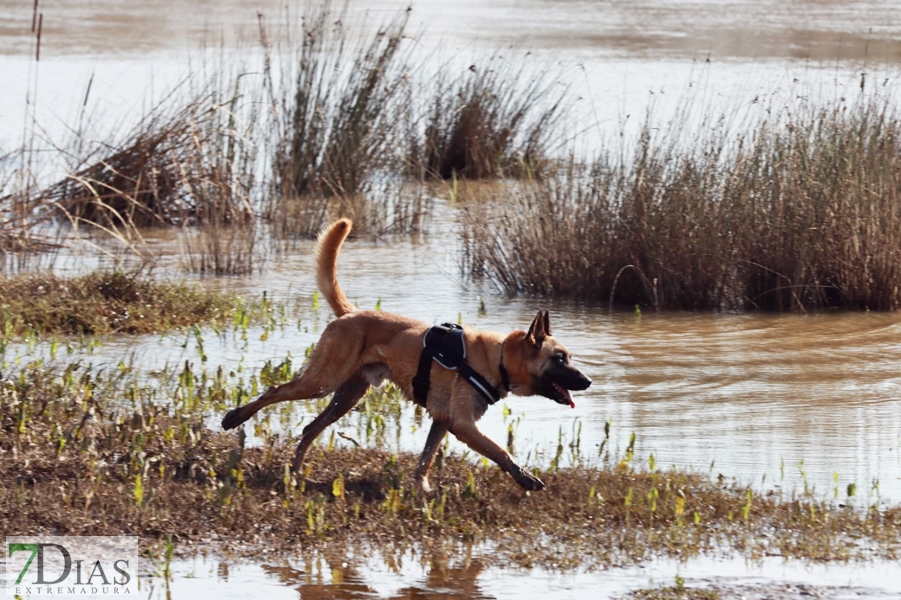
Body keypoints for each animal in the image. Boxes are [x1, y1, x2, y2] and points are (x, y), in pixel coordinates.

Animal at [222, 218, 596, 490]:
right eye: (560, 359)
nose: (589, 382)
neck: (499, 358)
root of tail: (349, 313)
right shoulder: (464, 425)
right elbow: (500, 451)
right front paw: (525, 478)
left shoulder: (442, 421)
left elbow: (426, 459)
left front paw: (422, 490)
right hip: (321, 383)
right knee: (275, 392)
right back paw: (235, 418)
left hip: (346, 396)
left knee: (309, 429)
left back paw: (296, 473)